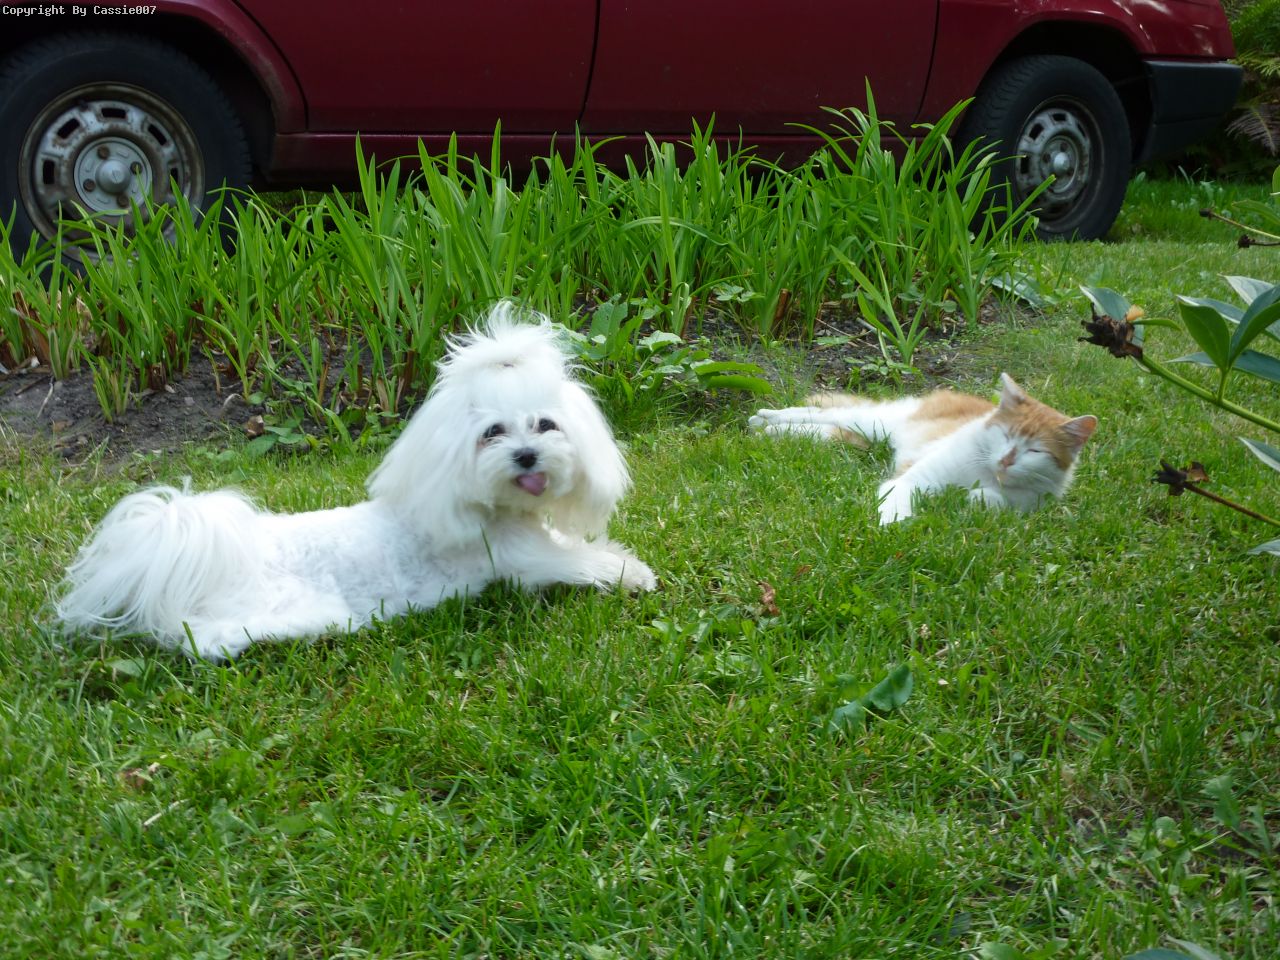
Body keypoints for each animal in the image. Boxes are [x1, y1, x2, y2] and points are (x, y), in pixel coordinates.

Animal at [56, 305, 656, 659]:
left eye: (546, 425)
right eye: (492, 433)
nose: (527, 455)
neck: (493, 510)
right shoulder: (520, 561)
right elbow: (579, 563)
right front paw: (631, 574)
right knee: (202, 638)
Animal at [748, 373, 1097, 524]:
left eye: (1036, 452)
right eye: (1005, 434)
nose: (1008, 459)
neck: (985, 473)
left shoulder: (1028, 502)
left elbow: (989, 500)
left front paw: (975, 498)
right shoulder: (911, 480)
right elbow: (896, 503)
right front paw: (893, 530)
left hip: (866, 434)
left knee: (821, 429)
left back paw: (770, 431)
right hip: (874, 422)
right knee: (820, 413)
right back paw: (763, 418)